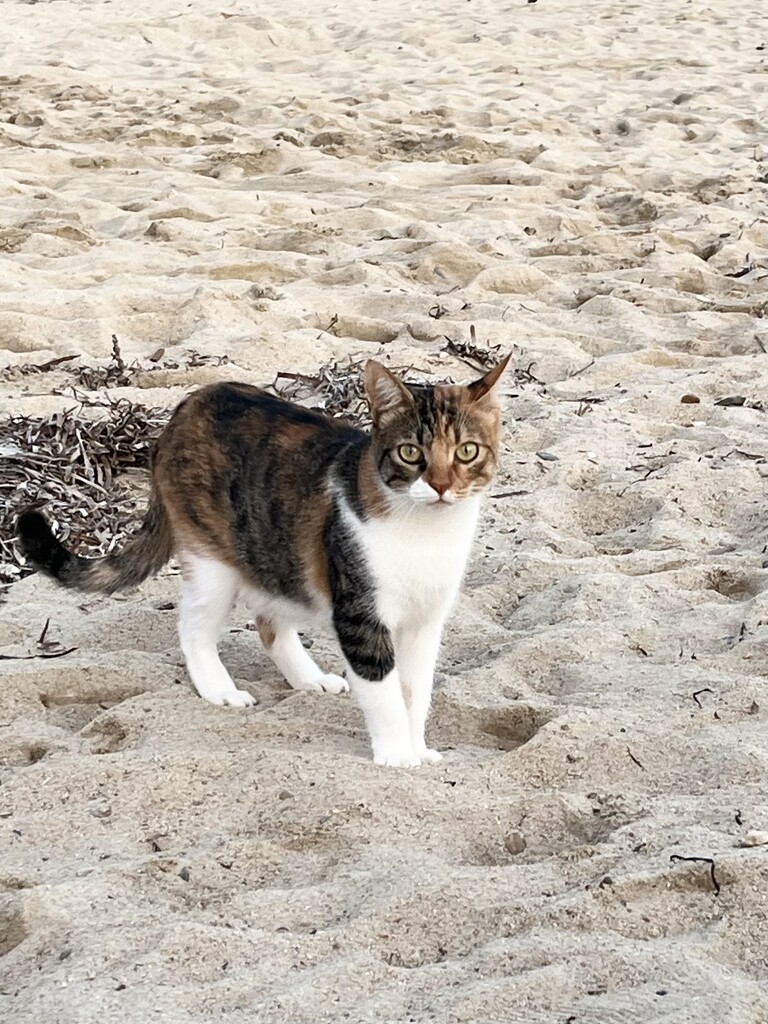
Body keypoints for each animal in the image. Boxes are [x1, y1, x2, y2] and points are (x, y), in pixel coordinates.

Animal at [16, 356, 512, 765]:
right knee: (194, 626)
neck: (425, 533)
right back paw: (219, 689)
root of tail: (188, 405)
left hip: (277, 552)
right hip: (213, 560)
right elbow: (385, 693)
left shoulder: (426, 621)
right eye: (411, 453)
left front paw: (419, 748)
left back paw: (310, 679)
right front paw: (397, 755)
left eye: (467, 451)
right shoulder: (361, 614)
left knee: (270, 623)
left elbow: (415, 692)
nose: (442, 486)